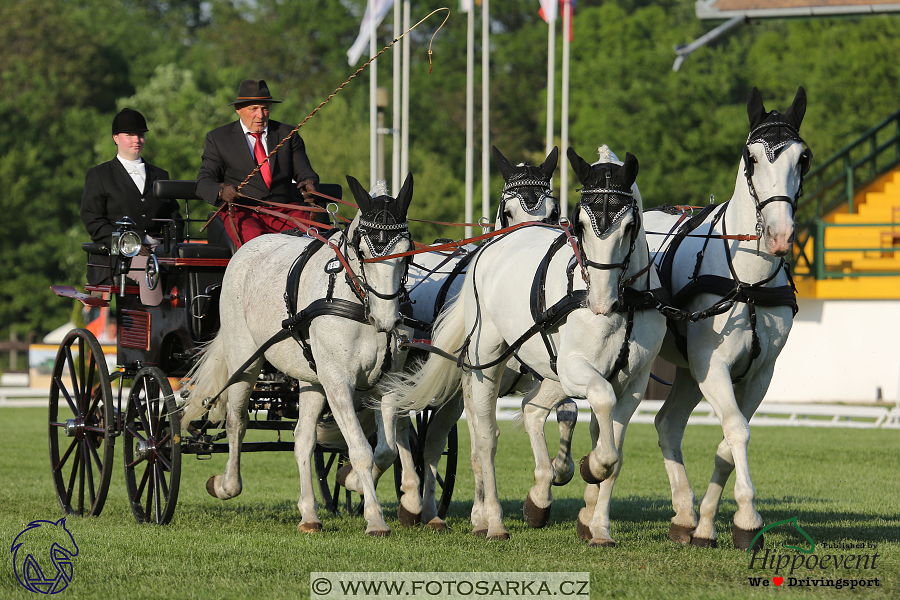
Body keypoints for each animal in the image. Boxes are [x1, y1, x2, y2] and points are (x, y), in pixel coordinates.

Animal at [180, 172, 418, 536]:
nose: (387, 319)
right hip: (245, 361)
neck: (358, 306)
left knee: (302, 438)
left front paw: (352, 482)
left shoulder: (387, 384)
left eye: (407, 252)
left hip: (311, 379)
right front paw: (375, 517)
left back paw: (309, 514)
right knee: (237, 421)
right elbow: (361, 449)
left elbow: (386, 450)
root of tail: (245, 251)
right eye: (363, 252)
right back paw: (225, 485)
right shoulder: (338, 383)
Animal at [394, 149, 668, 544]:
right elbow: (599, 403)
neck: (622, 303)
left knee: (505, 419)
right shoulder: (572, 367)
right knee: (479, 439)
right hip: (481, 365)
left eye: (630, 225)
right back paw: (487, 520)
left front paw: (598, 524)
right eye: (580, 224)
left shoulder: (633, 382)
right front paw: (590, 466)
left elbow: (610, 449)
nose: (600, 302)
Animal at [644, 86, 812, 552]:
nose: (779, 236)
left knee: (667, 424)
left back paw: (683, 514)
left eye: (803, 158)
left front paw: (707, 523)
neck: (748, 281)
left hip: (688, 370)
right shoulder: (714, 366)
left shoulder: (758, 374)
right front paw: (749, 518)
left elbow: (727, 440)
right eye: (751, 157)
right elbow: (736, 430)